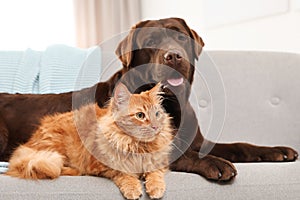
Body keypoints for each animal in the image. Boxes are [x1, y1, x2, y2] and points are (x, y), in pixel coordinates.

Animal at [6, 83, 173, 200]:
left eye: (157, 114)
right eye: (140, 115)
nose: (156, 126)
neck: (137, 146)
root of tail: (28, 143)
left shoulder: (160, 163)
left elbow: (155, 174)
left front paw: (156, 188)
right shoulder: (102, 166)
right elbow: (124, 174)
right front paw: (133, 188)